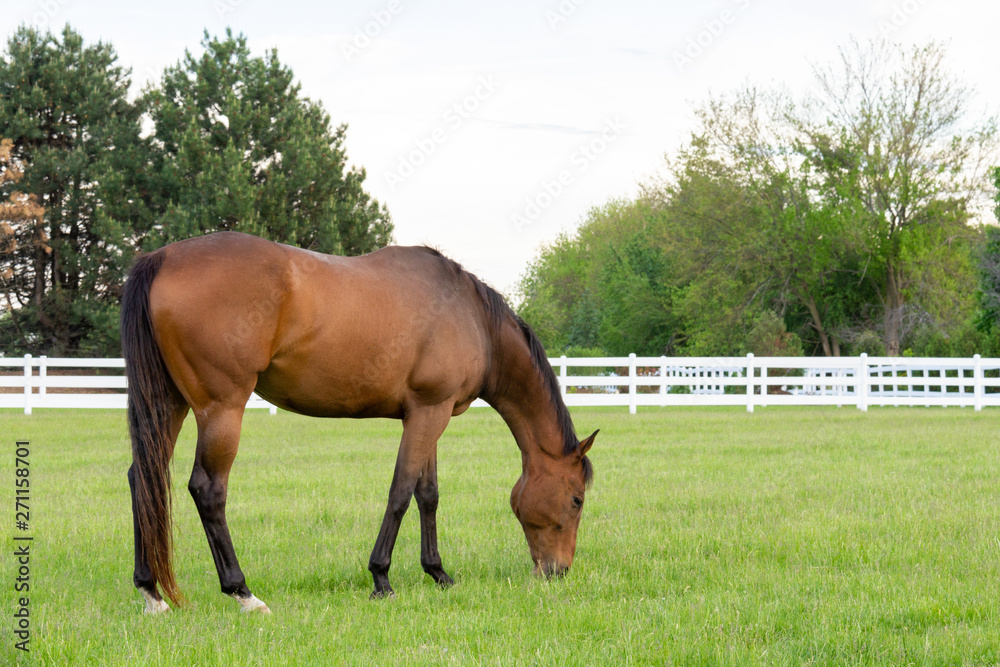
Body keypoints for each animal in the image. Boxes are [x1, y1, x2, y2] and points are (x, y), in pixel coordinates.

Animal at [120, 231, 597, 614]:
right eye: (576, 500)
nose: (558, 571)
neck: (471, 315)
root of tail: (162, 257)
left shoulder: (430, 413)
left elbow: (427, 495)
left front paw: (438, 573)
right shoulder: (429, 413)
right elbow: (400, 493)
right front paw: (381, 578)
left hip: (170, 404)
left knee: (143, 477)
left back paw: (152, 593)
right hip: (221, 409)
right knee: (208, 490)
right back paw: (243, 593)